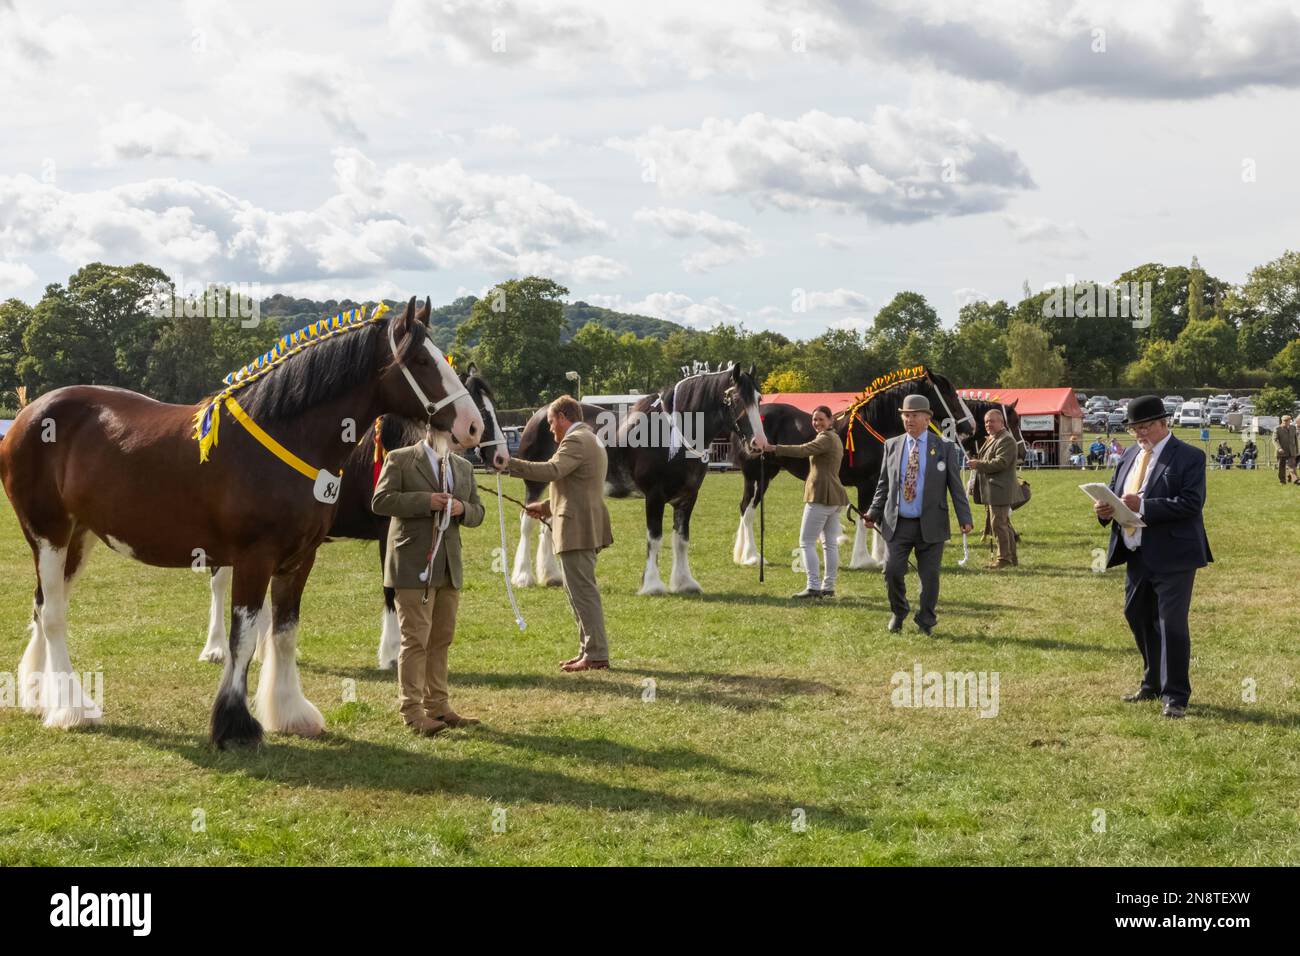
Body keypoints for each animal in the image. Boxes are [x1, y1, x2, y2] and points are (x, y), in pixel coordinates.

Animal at [198, 362, 510, 671]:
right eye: (481, 411)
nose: (502, 458)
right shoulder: (389, 530)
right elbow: (391, 589)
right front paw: (392, 653)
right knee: (219, 583)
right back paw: (215, 649)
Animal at [511, 363, 766, 594]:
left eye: (759, 398)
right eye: (736, 399)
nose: (759, 443)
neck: (671, 433)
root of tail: (540, 414)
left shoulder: (687, 498)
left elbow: (681, 539)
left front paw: (685, 583)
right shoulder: (654, 496)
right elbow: (655, 538)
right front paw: (652, 585)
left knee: (548, 523)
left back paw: (552, 576)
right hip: (536, 483)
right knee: (527, 522)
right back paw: (523, 577)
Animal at [731, 367, 975, 571]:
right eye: (950, 394)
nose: (970, 426)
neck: (874, 425)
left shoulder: (881, 481)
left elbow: (877, 517)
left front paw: (880, 556)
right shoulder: (866, 483)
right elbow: (865, 518)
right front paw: (863, 559)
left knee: (743, 508)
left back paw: (741, 555)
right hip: (758, 477)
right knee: (748, 510)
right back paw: (752, 557)